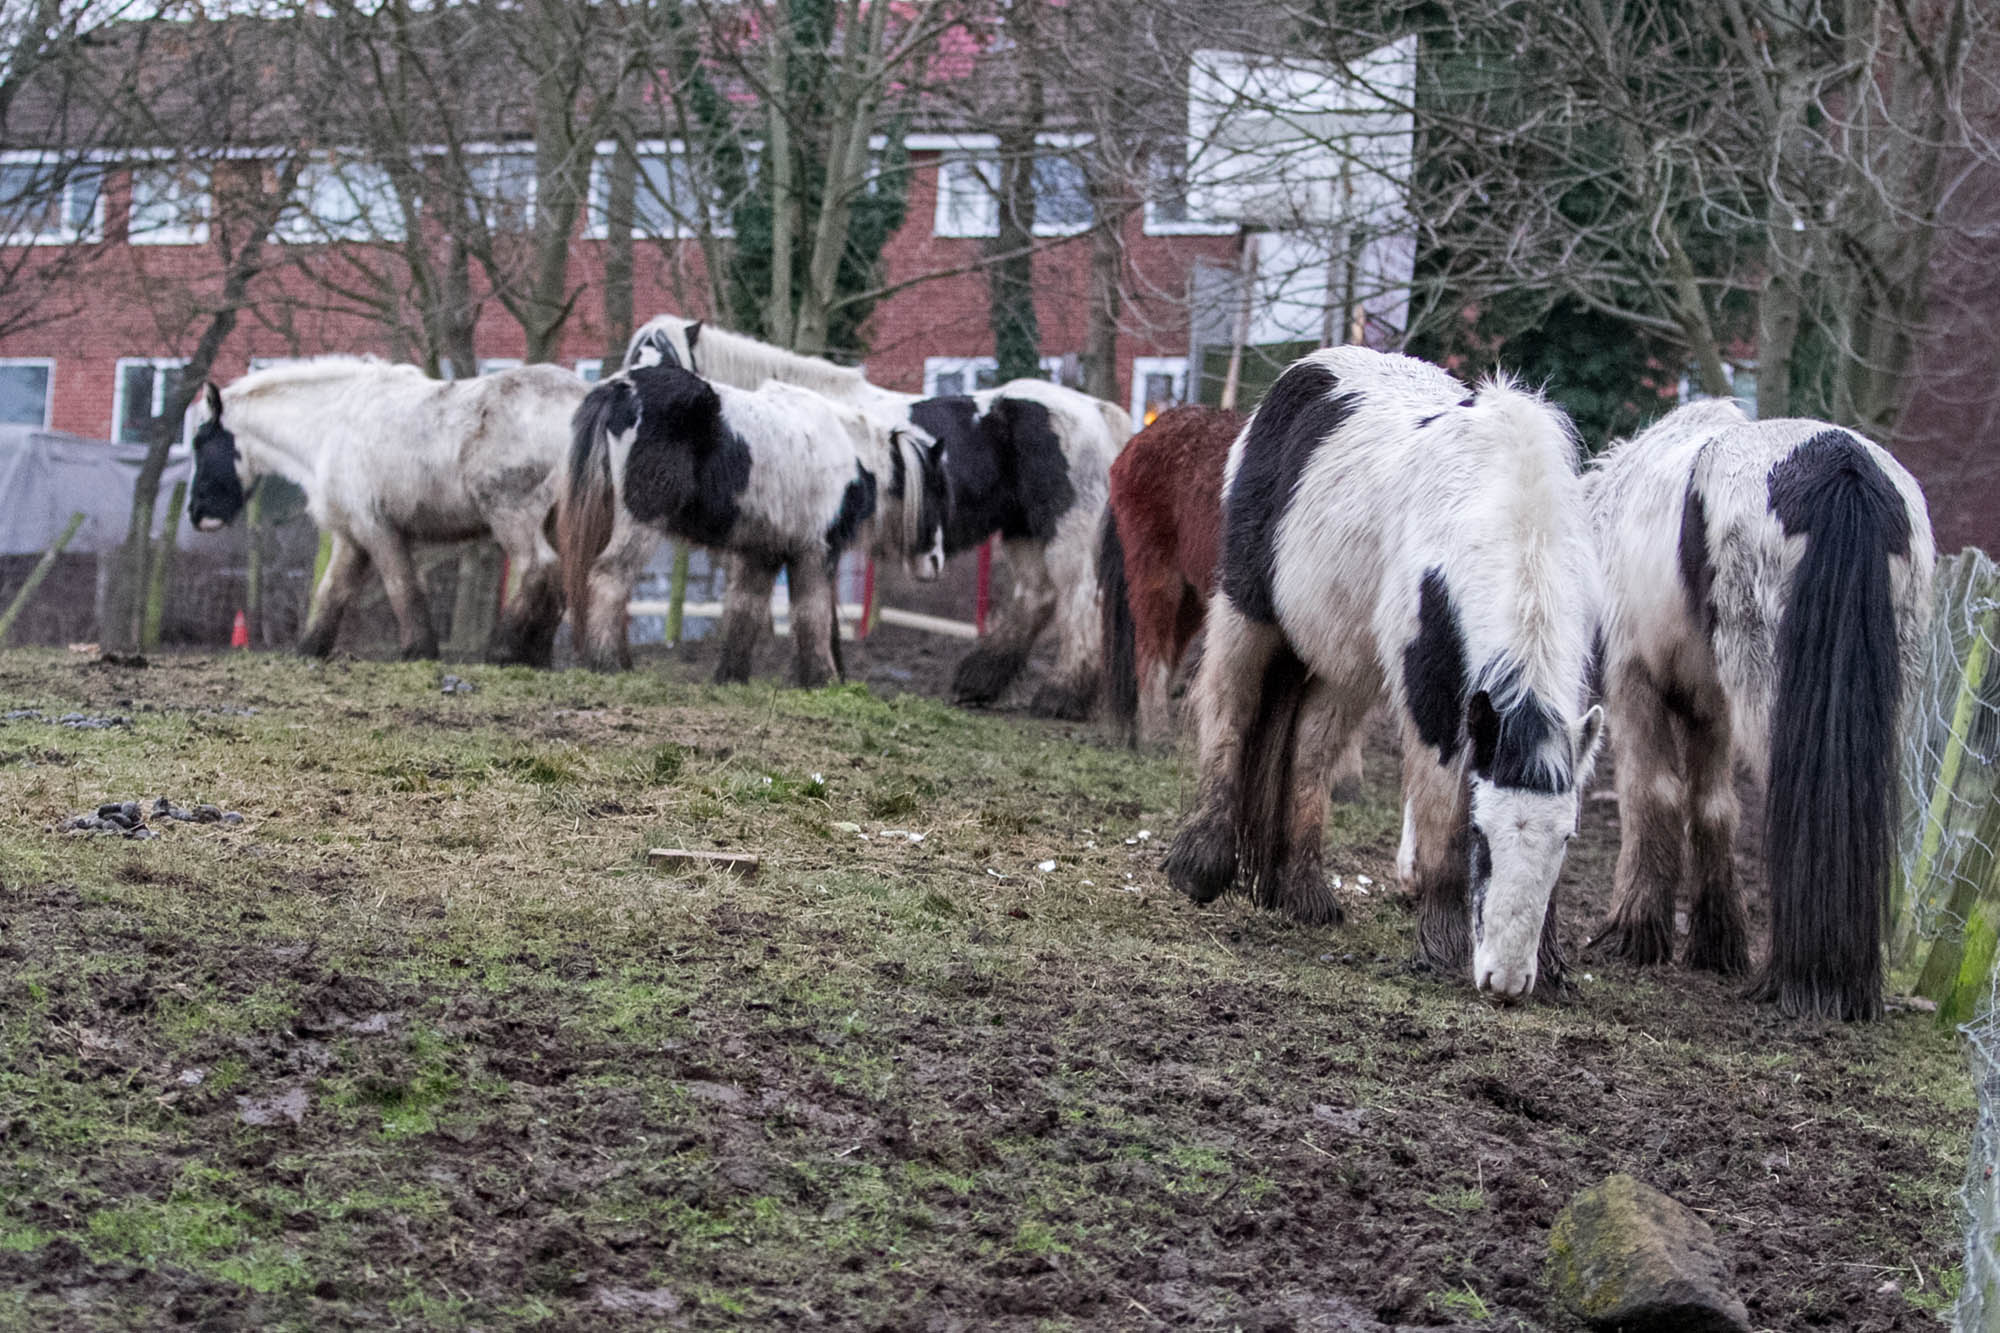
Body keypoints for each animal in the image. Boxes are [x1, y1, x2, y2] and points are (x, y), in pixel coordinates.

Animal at [186, 356, 584, 660]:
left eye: (201, 443)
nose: (196, 512)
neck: (329, 426)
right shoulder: (350, 538)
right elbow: (332, 592)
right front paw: (309, 649)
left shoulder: (376, 527)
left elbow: (401, 587)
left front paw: (418, 651)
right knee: (558, 578)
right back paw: (536, 656)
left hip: (513, 516)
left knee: (538, 568)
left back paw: (504, 650)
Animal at [556, 360, 944, 684]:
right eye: (936, 490)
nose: (935, 562)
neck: (849, 451)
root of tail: (622, 386)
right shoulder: (816, 551)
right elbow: (814, 613)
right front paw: (823, 679)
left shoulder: (762, 552)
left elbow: (746, 608)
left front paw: (731, 677)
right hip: (638, 524)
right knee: (609, 578)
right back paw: (608, 664)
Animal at [624, 312, 1136, 712]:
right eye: (634, 362)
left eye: (669, 364)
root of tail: (1095, 409)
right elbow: (823, 608)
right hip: (1024, 532)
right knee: (1038, 597)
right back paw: (979, 682)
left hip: (1066, 533)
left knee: (1079, 601)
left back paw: (1061, 696)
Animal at [1168, 344, 1600, 996]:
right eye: (1482, 836)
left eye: (1567, 839)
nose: (1505, 981)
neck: (1511, 516)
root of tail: (1309, 369)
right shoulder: (1435, 700)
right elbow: (1441, 809)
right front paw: (1443, 939)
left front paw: (1548, 964)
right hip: (1250, 611)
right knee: (1231, 713)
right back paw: (1201, 865)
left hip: (1346, 659)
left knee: (1310, 750)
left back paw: (1302, 893)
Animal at [1584, 394, 1928, 1016]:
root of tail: (1844, 467)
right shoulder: (1710, 707)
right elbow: (1714, 807)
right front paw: (1717, 943)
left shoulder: (1634, 677)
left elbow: (1652, 794)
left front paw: (1635, 929)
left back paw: (1805, 979)